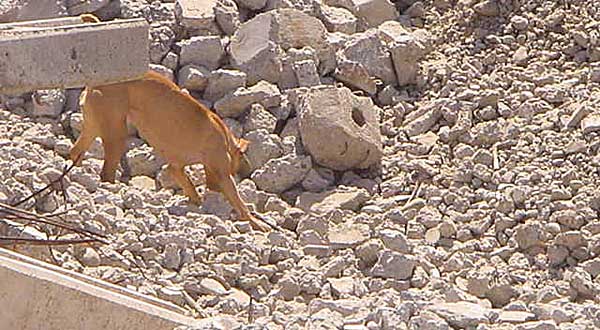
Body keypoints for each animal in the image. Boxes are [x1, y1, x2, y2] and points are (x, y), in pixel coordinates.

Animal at [68, 69, 270, 231]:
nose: (248, 172)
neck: (225, 137)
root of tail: (93, 83)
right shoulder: (222, 175)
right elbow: (240, 203)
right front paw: (257, 224)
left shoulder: (176, 168)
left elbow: (191, 190)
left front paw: (196, 204)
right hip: (116, 136)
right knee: (106, 173)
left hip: (93, 128)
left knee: (75, 152)